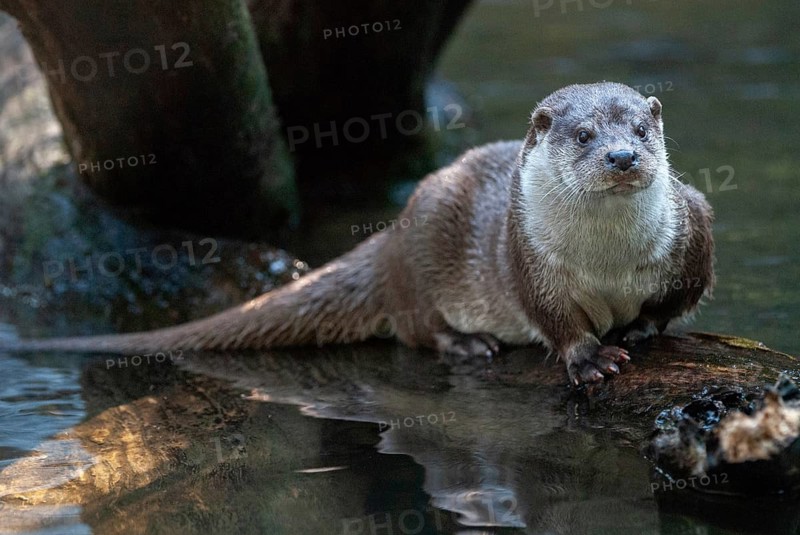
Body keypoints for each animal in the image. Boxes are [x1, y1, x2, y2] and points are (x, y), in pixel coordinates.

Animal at [1, 82, 714, 385]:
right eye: (584, 134)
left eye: (642, 129)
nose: (621, 156)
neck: (606, 263)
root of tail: (390, 234)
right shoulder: (524, 257)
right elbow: (553, 319)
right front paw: (589, 356)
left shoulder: (695, 230)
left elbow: (677, 299)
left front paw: (641, 327)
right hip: (421, 258)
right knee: (414, 325)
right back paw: (467, 344)